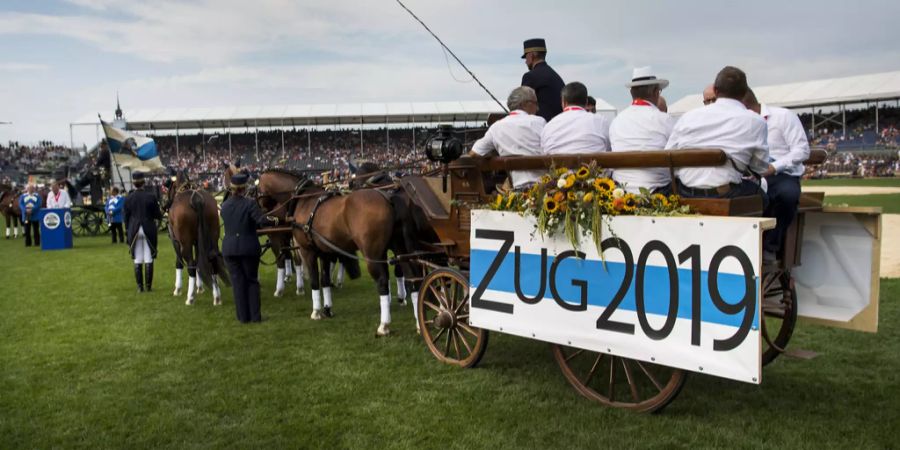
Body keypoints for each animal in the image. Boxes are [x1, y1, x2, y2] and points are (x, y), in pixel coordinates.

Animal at [164, 170, 229, 306]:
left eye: (169, 186)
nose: (166, 205)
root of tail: (197, 200)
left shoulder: (176, 241)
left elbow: (179, 262)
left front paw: (178, 289)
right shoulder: (198, 241)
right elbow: (199, 260)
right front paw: (200, 287)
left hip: (185, 243)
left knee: (190, 264)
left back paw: (190, 298)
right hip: (212, 237)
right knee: (211, 260)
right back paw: (217, 297)